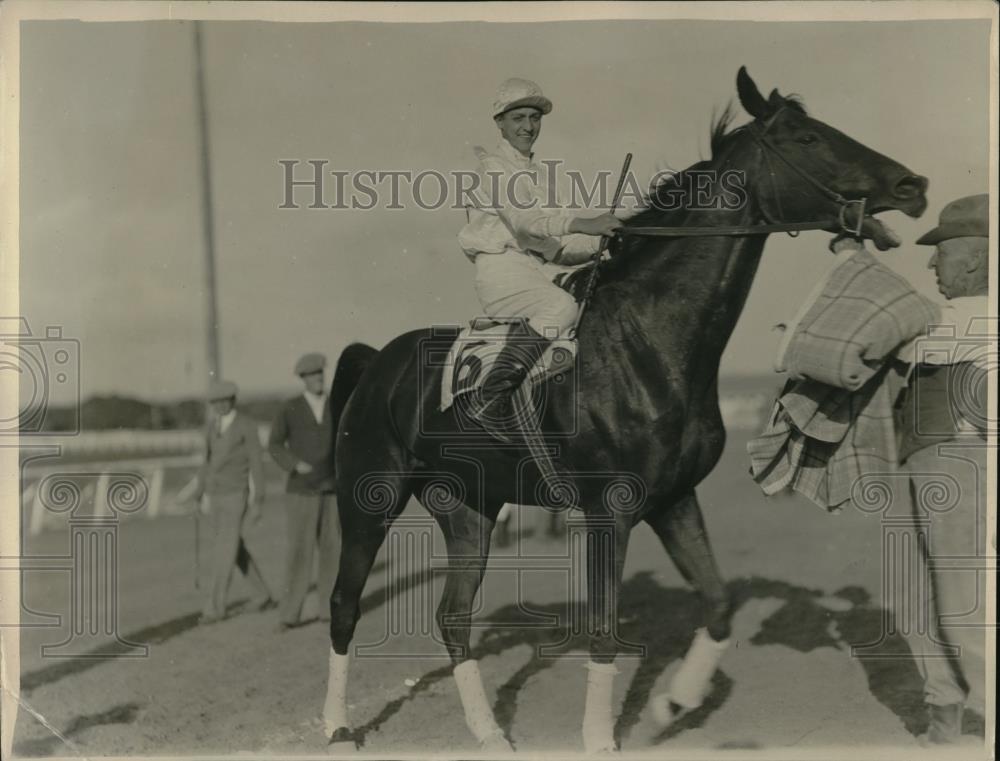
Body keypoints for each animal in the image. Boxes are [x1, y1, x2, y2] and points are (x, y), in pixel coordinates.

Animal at [320, 67, 928, 756]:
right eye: (807, 137)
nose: (912, 186)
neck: (649, 342)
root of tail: (377, 361)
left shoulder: (674, 499)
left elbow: (718, 605)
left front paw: (670, 704)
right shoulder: (608, 511)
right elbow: (605, 631)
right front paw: (602, 737)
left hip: (468, 507)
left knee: (453, 616)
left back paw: (491, 733)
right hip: (369, 499)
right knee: (344, 604)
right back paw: (337, 726)